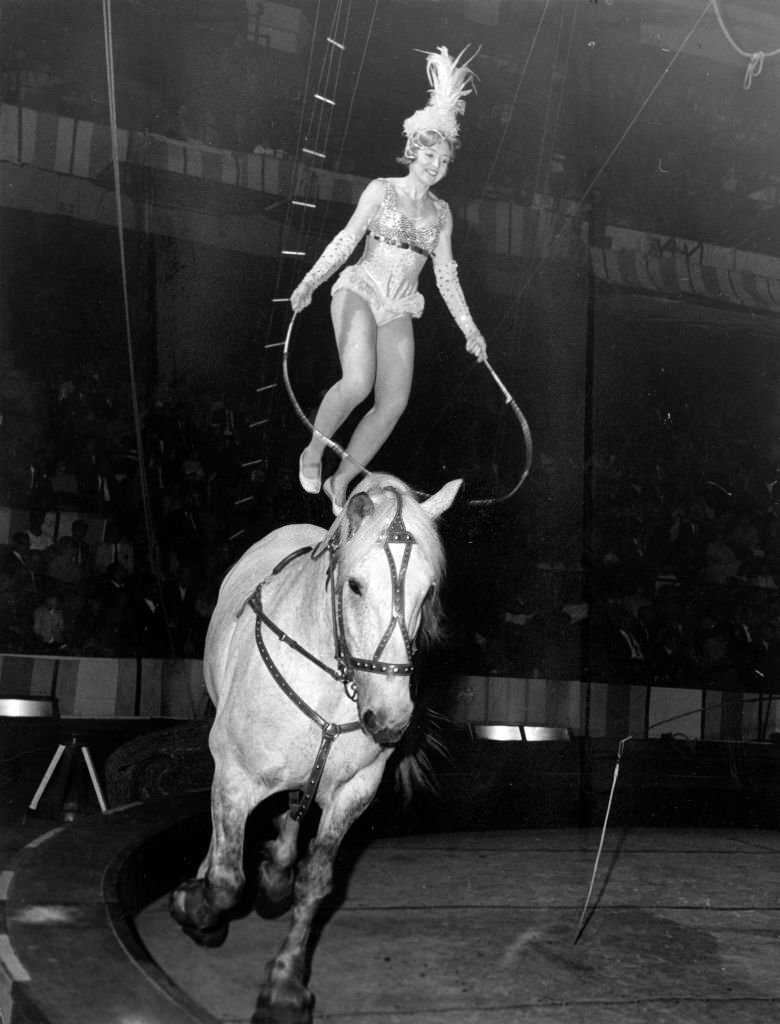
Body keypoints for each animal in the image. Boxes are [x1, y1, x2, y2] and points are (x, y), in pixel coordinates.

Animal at [169, 475, 458, 1019]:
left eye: (428, 591)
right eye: (356, 585)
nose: (390, 721)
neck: (332, 677)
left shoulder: (355, 790)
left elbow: (315, 881)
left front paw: (284, 983)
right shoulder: (235, 775)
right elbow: (225, 877)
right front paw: (195, 906)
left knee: (294, 810)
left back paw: (275, 874)